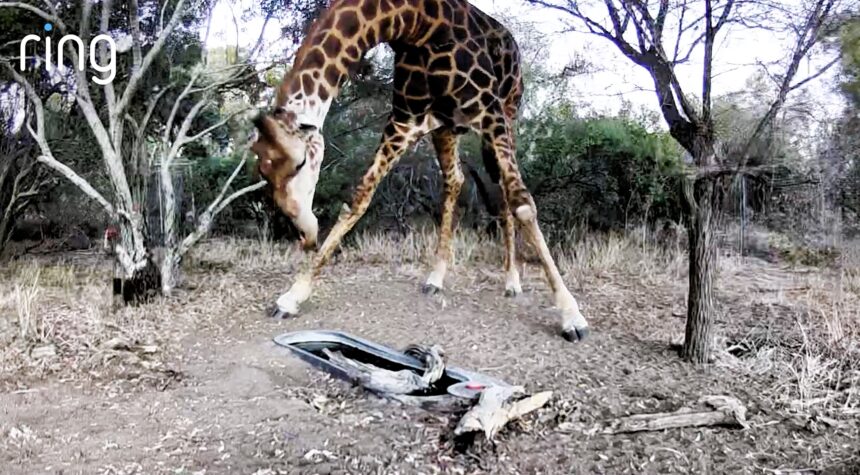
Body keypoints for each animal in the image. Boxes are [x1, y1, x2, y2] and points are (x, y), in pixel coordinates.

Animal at [250, 0, 590, 341]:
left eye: (300, 163)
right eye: (265, 175)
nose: (305, 235)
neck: (413, 24)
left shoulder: (488, 111)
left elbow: (524, 204)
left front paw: (571, 316)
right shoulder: (404, 122)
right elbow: (359, 199)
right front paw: (292, 296)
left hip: (508, 110)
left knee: (504, 191)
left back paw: (512, 282)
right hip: (446, 127)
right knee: (455, 179)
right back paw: (436, 277)